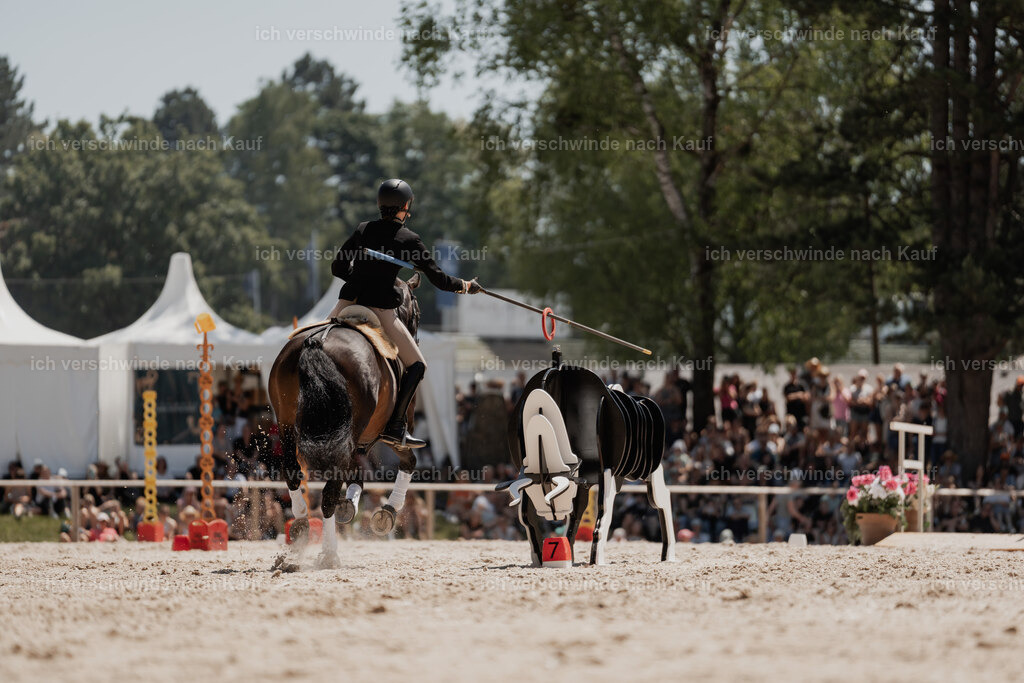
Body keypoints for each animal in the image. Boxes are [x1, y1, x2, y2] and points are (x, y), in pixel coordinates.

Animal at [264, 273, 421, 567]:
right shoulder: (392, 435)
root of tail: (316, 344)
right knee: (328, 490)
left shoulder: (355, 439)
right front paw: (387, 512)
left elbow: (356, 472)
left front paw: (349, 505)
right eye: (417, 311)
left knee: (292, 471)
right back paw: (329, 554)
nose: (415, 337)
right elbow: (409, 461)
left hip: (288, 424)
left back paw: (301, 526)